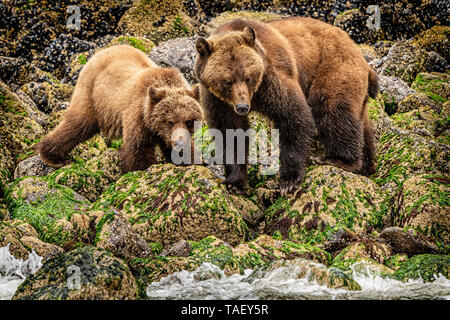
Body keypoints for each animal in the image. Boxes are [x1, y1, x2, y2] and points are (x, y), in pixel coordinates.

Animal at [36, 45, 203, 172]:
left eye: (189, 121)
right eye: (170, 121)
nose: (180, 141)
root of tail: (101, 51)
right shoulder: (138, 116)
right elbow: (137, 149)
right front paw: (142, 168)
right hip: (93, 97)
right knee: (78, 124)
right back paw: (53, 157)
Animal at [194, 18, 380, 198]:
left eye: (247, 77)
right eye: (227, 80)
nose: (242, 107)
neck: (255, 94)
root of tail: (358, 52)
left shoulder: (273, 76)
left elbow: (293, 117)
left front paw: (288, 181)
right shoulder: (216, 99)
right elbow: (230, 133)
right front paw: (235, 183)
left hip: (333, 66)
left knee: (331, 109)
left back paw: (337, 160)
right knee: (361, 123)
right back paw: (366, 165)